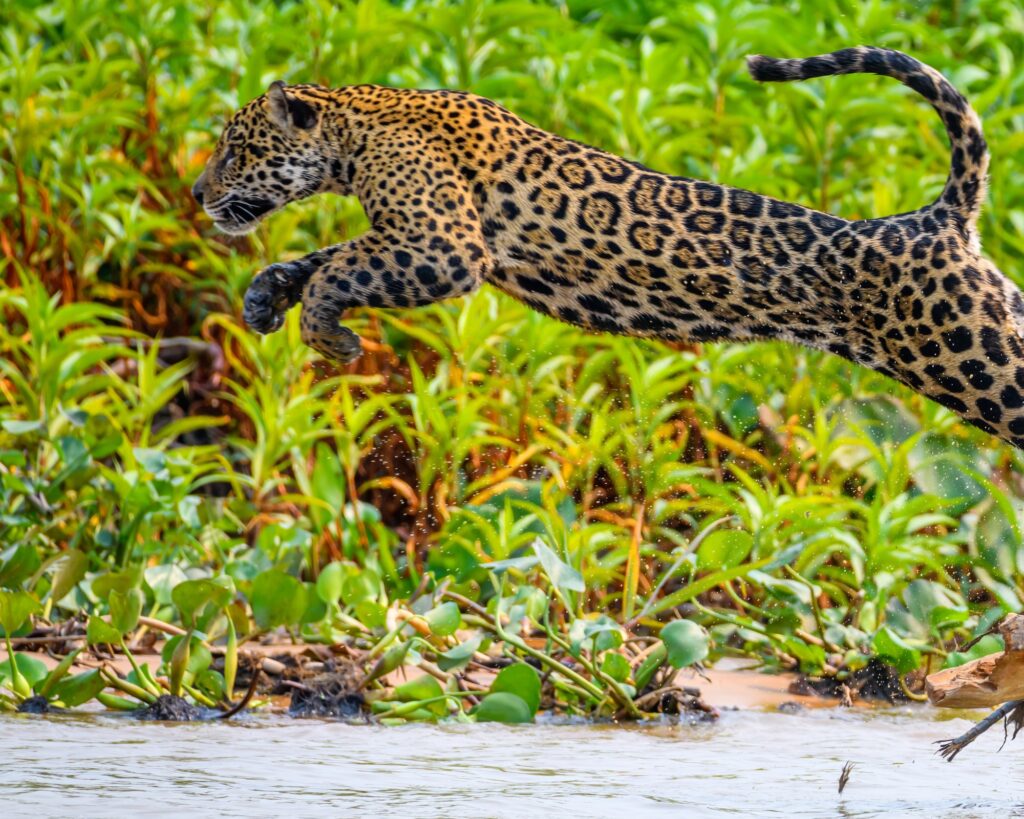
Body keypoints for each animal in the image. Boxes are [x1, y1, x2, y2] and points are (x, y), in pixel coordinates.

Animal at [192, 46, 1024, 449]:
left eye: (236, 148)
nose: (197, 193)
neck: (356, 125)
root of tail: (938, 217)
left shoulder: (443, 244)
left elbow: (340, 264)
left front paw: (327, 333)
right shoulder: (408, 236)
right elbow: (324, 254)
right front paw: (266, 297)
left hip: (979, 358)